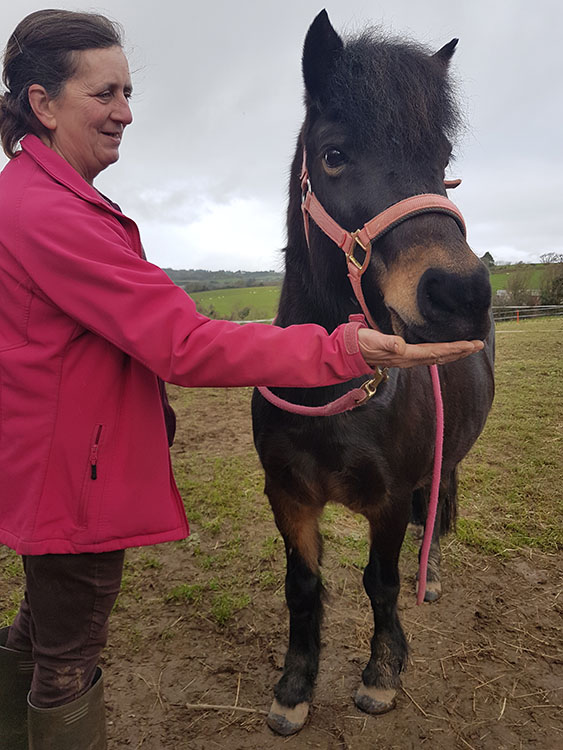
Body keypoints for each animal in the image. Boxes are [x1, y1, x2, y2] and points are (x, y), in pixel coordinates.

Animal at [251, 10, 495, 736]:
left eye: (442, 160)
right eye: (334, 154)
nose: (461, 294)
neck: (332, 390)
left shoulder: (386, 501)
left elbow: (380, 583)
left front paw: (382, 674)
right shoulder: (288, 496)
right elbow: (302, 586)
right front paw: (294, 686)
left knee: (439, 497)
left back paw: (430, 574)